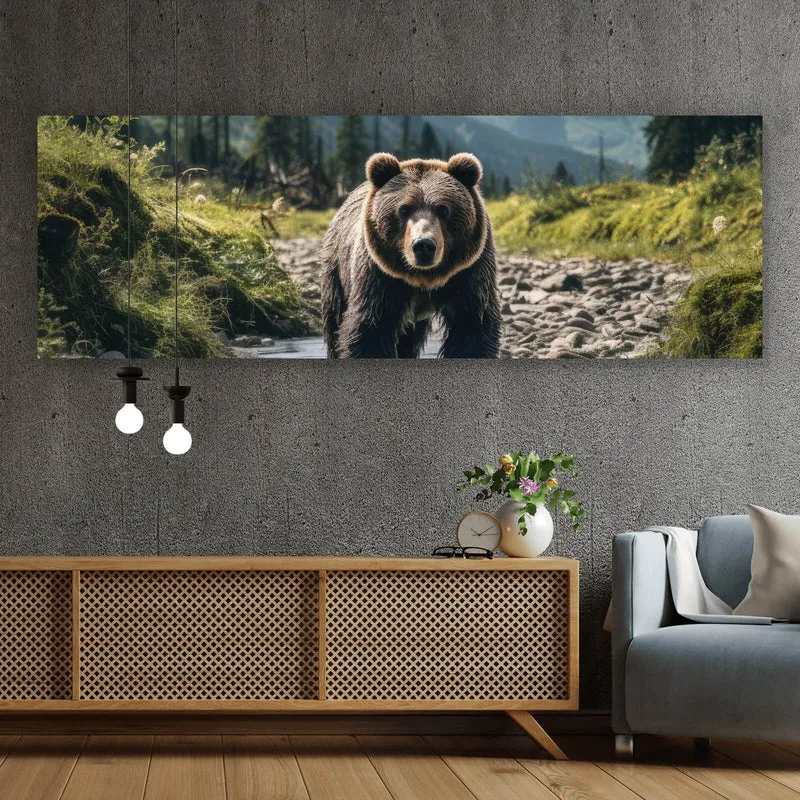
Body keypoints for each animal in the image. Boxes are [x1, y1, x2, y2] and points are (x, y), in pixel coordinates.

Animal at [320, 152, 502, 358]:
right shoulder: (378, 276)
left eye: (443, 209)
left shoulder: (469, 271)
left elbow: (471, 326)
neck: (423, 279)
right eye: (403, 209)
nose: (423, 245)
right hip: (336, 270)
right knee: (335, 320)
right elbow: (371, 330)